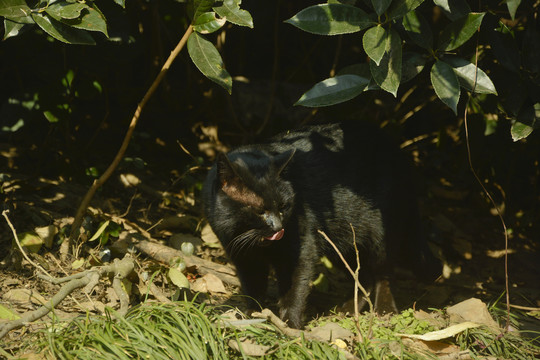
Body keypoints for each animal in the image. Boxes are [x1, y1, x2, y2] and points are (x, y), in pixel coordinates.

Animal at [202, 121, 438, 330]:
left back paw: (385, 309)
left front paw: (290, 325)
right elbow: (253, 289)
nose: (278, 227)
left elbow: (294, 290)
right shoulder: (243, 257)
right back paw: (347, 308)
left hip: (381, 234)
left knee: (384, 273)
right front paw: (253, 316)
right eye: (260, 211)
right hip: (344, 244)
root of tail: (397, 151)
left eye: (284, 206)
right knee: (364, 276)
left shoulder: (300, 251)